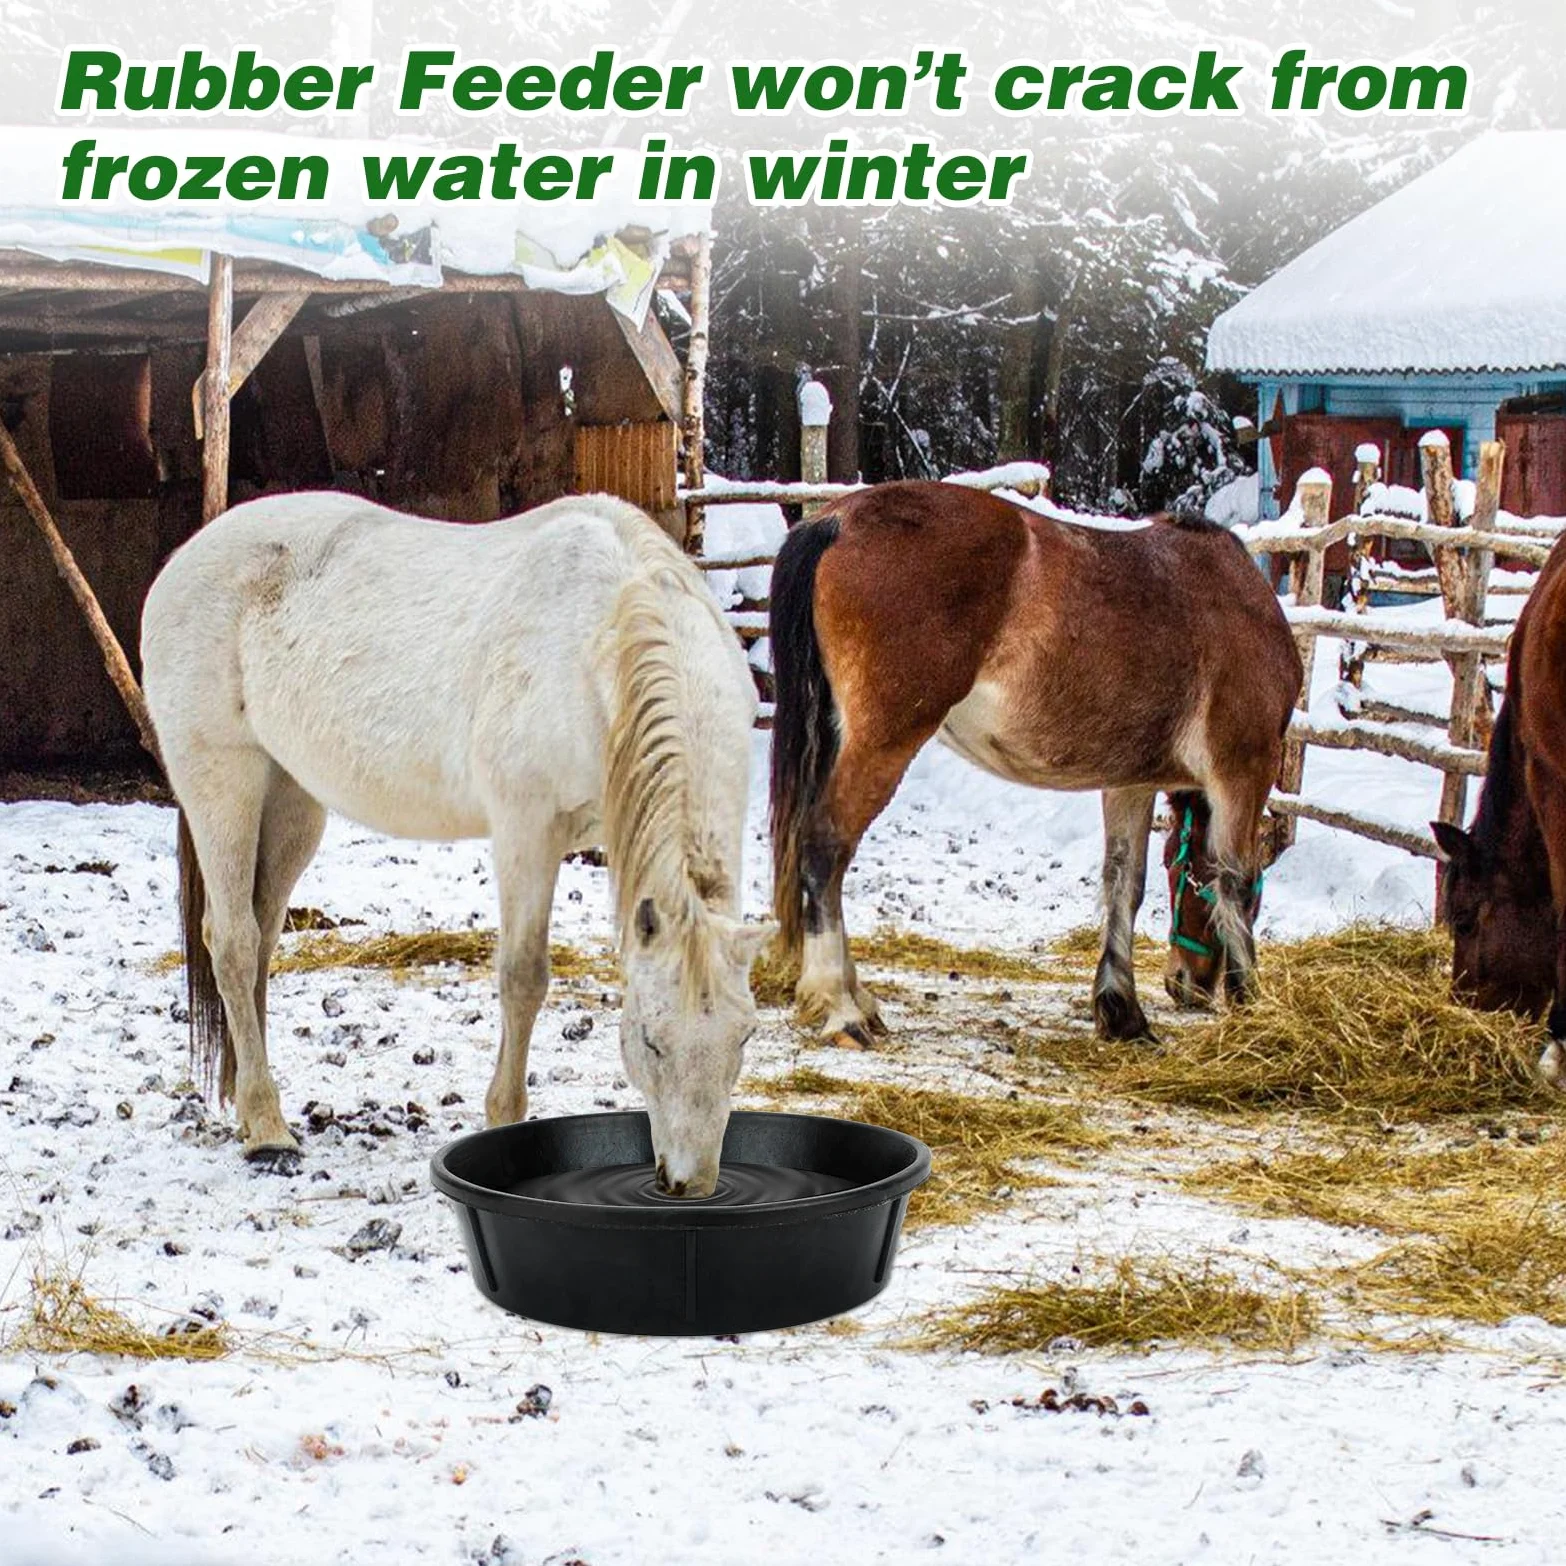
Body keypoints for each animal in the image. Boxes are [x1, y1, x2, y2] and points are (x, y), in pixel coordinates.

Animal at [141, 491, 770, 1194]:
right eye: (651, 1039)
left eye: (744, 1039)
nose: (691, 1184)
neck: (603, 640)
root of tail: (185, 559)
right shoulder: (527, 828)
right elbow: (523, 978)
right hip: (223, 780)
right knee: (232, 942)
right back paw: (268, 1133)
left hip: (292, 801)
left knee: (261, 939)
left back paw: (247, 1103)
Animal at [767, 480, 1301, 1045]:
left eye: (1174, 870)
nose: (1186, 983)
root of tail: (836, 522)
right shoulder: (1243, 769)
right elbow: (1234, 878)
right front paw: (1252, 1003)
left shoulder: (1130, 782)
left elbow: (1123, 882)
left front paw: (1122, 1011)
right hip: (881, 743)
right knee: (824, 848)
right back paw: (840, 1007)